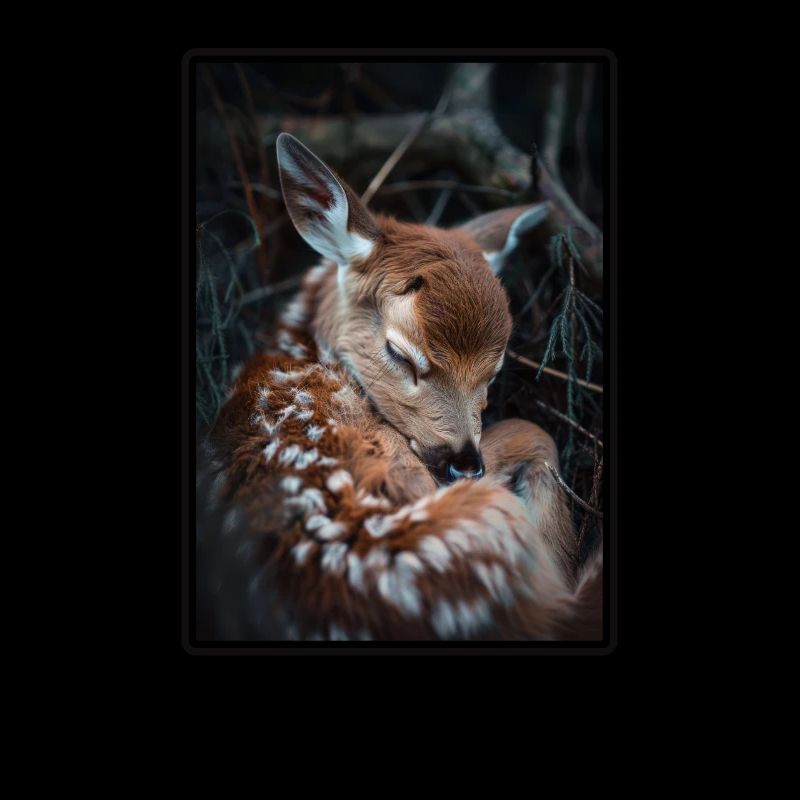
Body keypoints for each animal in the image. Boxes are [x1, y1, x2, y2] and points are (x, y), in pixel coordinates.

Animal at [197, 132, 603, 642]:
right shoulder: (407, 465)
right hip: (483, 519)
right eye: (400, 353)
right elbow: (532, 430)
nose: (464, 463)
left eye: (494, 371)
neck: (301, 349)